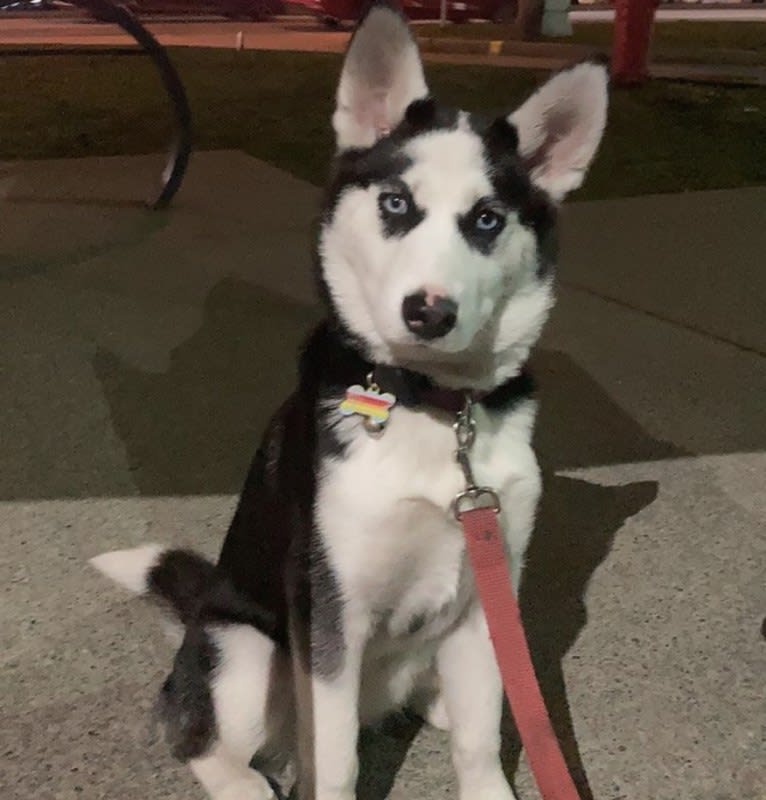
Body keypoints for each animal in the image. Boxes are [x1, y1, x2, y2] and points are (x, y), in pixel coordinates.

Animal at [90, 3, 608, 796]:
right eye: (396, 204)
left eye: (487, 220)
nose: (429, 311)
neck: (434, 409)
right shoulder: (329, 610)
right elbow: (335, 761)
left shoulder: (486, 599)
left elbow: (483, 733)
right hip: (243, 649)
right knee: (193, 728)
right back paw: (242, 780)